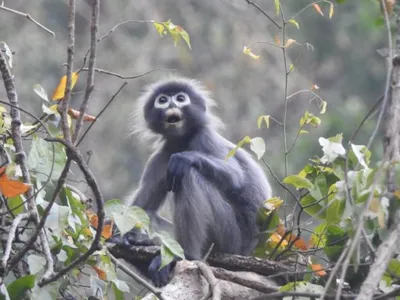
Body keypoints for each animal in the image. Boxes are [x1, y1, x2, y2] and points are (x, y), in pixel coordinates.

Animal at [122, 76, 272, 288]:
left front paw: (185, 158)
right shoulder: (161, 156)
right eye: (162, 100)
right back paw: (144, 242)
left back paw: (186, 255)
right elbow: (142, 206)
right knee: (149, 212)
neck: (182, 141)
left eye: (180, 98)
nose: (172, 104)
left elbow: (235, 175)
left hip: (230, 239)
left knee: (189, 176)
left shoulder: (204, 137)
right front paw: (121, 234)